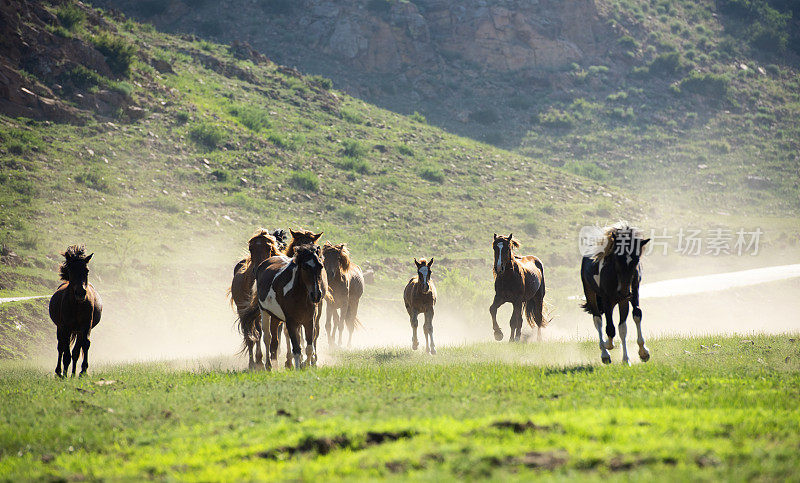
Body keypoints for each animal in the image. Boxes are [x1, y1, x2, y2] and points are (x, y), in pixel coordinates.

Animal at [48, 246, 102, 378]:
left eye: (87, 270)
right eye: (71, 270)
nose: (80, 293)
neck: (77, 305)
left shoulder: (85, 326)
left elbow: (84, 345)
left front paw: (83, 371)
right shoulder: (66, 327)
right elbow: (66, 351)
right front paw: (64, 375)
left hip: (78, 331)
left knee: (76, 351)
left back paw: (73, 373)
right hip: (60, 328)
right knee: (61, 347)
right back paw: (59, 372)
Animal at [228, 229, 282, 368]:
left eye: (269, 247)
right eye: (250, 248)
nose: (258, 269)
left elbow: (272, 336)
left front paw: (272, 360)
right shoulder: (250, 313)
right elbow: (256, 335)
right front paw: (259, 361)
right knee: (251, 336)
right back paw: (254, 362)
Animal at [580, 221, 648, 364]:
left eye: (636, 260)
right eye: (617, 258)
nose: (624, 291)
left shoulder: (632, 294)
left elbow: (633, 318)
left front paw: (640, 353)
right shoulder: (607, 298)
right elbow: (610, 328)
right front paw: (608, 346)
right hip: (591, 293)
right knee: (598, 320)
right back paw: (605, 352)